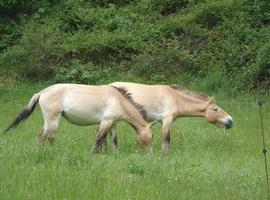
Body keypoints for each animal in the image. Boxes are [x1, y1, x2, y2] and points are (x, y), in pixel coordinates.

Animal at [3, 83, 154, 153]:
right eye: (150, 137)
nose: (149, 154)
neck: (119, 100)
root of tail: (41, 92)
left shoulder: (112, 123)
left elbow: (112, 140)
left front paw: (111, 153)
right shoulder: (106, 121)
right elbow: (99, 137)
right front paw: (93, 153)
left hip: (47, 120)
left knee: (42, 135)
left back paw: (42, 150)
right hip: (53, 119)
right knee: (51, 136)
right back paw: (53, 151)